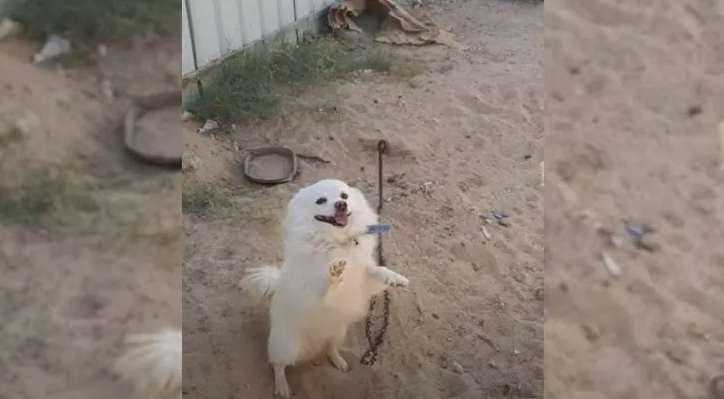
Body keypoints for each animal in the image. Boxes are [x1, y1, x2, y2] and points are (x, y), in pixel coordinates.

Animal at [240, 180, 410, 398]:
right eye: (321, 200)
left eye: (344, 196)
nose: (341, 205)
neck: (336, 241)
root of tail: (313, 347)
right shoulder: (320, 294)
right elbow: (327, 286)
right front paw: (335, 272)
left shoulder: (362, 278)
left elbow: (377, 270)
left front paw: (395, 278)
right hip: (286, 346)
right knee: (278, 365)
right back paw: (282, 387)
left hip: (337, 333)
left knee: (330, 348)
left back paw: (339, 361)